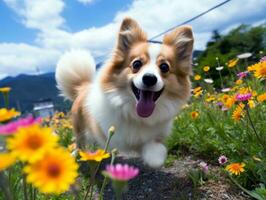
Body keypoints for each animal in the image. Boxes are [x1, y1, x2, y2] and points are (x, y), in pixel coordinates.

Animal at [55, 17, 193, 168]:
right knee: (80, 141)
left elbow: (153, 147)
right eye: (136, 64)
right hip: (79, 125)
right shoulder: (108, 132)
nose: (149, 78)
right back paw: (76, 154)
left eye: (164, 67)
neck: (136, 113)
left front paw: (154, 156)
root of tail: (83, 86)